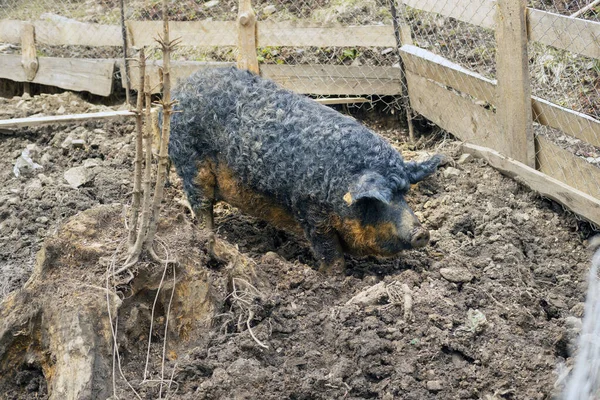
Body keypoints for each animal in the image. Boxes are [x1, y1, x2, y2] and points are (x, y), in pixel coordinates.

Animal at [169, 67, 440, 274]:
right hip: (190, 165)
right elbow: (329, 252)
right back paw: (209, 236)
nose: (422, 233)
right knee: (201, 204)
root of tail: (180, 86)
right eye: (378, 200)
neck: (339, 183)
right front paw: (333, 278)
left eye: (404, 193)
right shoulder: (310, 210)